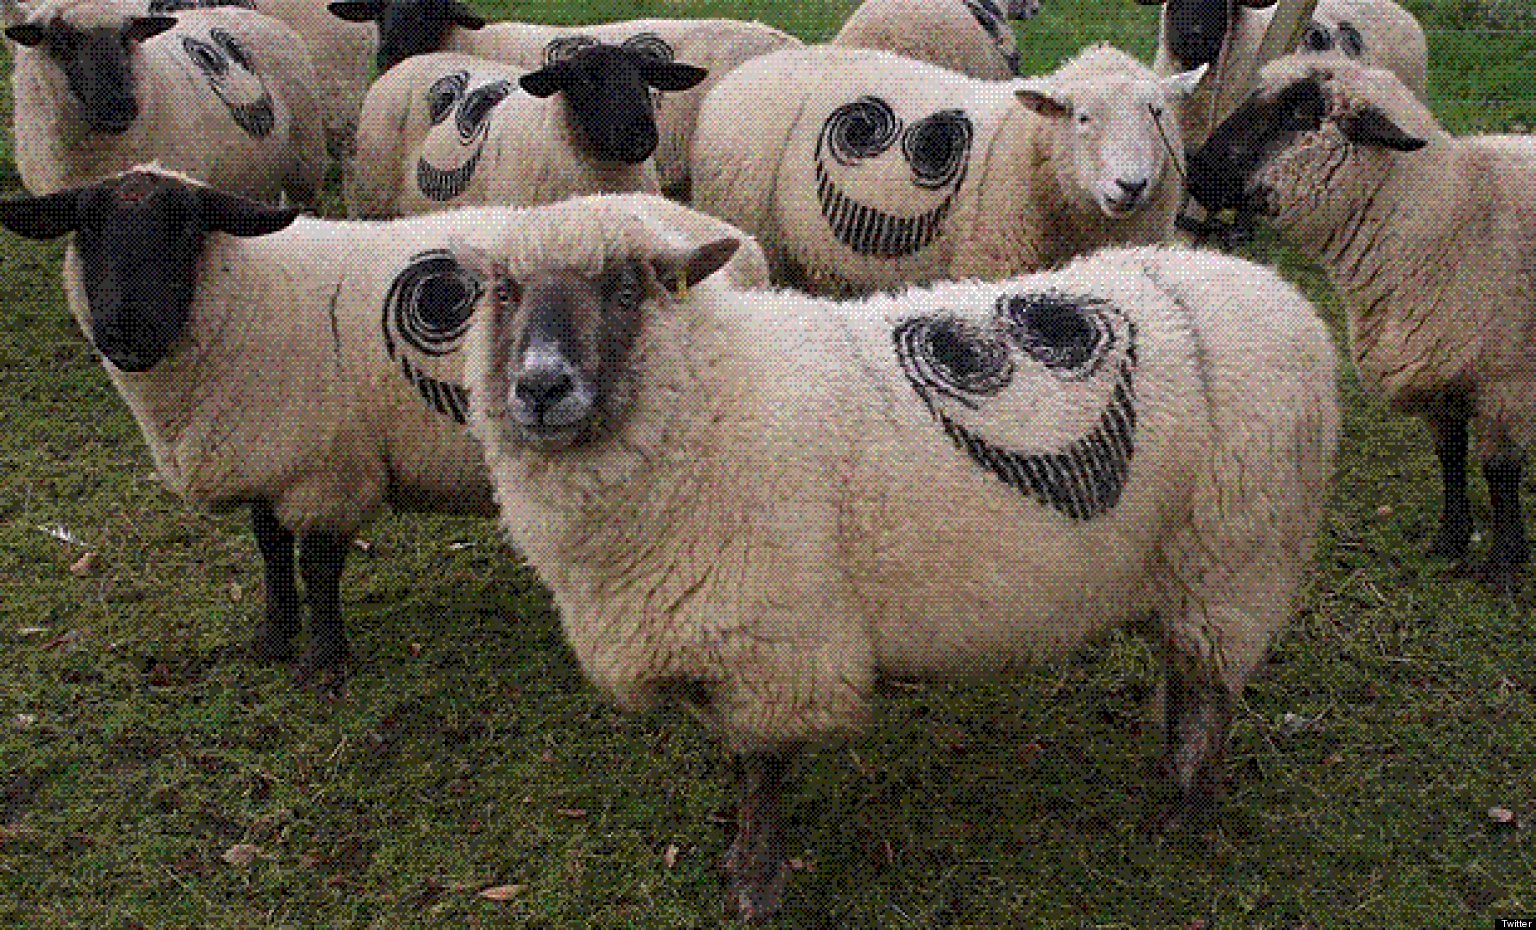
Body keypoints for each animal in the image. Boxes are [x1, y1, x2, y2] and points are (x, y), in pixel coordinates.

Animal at [0, 166, 771, 680]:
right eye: (86, 231)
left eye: (185, 227)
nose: (123, 332)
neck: (243, 296)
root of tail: (736, 241)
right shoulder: (268, 456)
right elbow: (270, 553)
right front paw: (273, 641)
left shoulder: (327, 470)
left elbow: (318, 563)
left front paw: (324, 662)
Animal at [453, 196, 1339, 922]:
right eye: (504, 292)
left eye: (629, 289)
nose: (540, 387)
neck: (711, 396)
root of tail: (1280, 294)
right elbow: (740, 761)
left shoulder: (777, 647)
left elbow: (760, 770)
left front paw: (756, 883)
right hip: (1191, 567)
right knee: (1187, 676)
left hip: (1234, 556)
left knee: (1212, 691)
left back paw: (1189, 814)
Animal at [690, 43, 1205, 296]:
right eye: (1082, 118)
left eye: (1159, 114)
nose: (1131, 185)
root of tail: (744, 72)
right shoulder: (992, 265)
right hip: (752, 228)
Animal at [1187, 57, 1536, 589]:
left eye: (1300, 114)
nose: (1194, 170)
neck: (1454, 223)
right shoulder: (1436, 373)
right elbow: (1451, 457)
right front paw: (1449, 541)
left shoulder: (1506, 384)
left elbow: (1499, 472)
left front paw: (1503, 564)